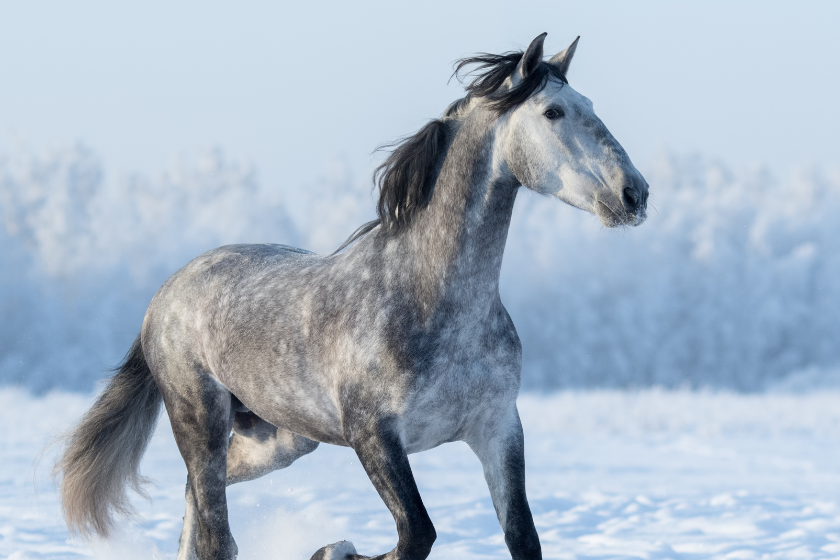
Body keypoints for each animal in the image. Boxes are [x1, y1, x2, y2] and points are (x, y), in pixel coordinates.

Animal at [57, 34, 648, 560]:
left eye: (589, 106)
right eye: (553, 112)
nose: (634, 194)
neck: (433, 304)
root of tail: (166, 292)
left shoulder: (498, 428)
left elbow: (522, 538)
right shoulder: (374, 435)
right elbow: (416, 534)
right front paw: (331, 549)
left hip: (281, 439)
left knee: (199, 502)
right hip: (199, 417)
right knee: (214, 528)